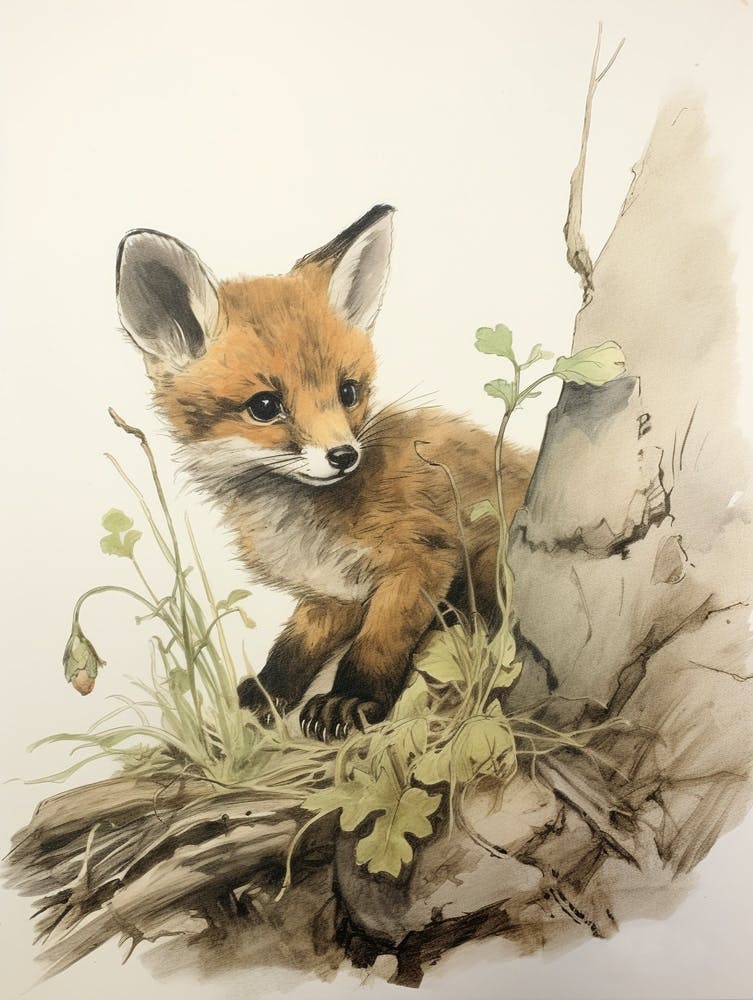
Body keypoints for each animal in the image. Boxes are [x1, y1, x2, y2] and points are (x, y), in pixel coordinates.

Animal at [115, 205, 535, 741]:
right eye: (265, 406)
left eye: (348, 392)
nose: (343, 456)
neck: (302, 524)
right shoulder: (331, 590)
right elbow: (293, 649)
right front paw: (263, 697)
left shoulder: (421, 555)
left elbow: (377, 643)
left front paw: (351, 698)